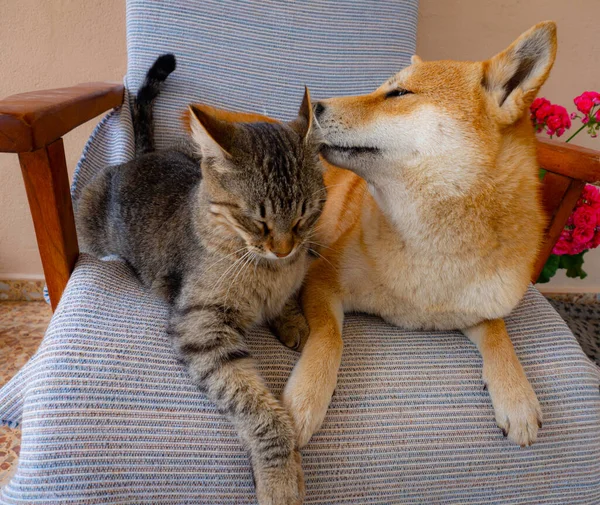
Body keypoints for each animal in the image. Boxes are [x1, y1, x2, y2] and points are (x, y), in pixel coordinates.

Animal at [78, 55, 328, 504]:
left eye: (305, 215)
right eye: (257, 220)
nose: (284, 249)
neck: (268, 269)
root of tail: (144, 155)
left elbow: (286, 301)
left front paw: (293, 321)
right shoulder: (201, 326)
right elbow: (261, 412)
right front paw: (280, 475)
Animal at [282, 22, 556, 448]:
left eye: (398, 94)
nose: (313, 107)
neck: (431, 249)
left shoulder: (483, 307)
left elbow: (500, 337)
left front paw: (518, 396)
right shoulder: (323, 280)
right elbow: (329, 338)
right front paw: (305, 397)